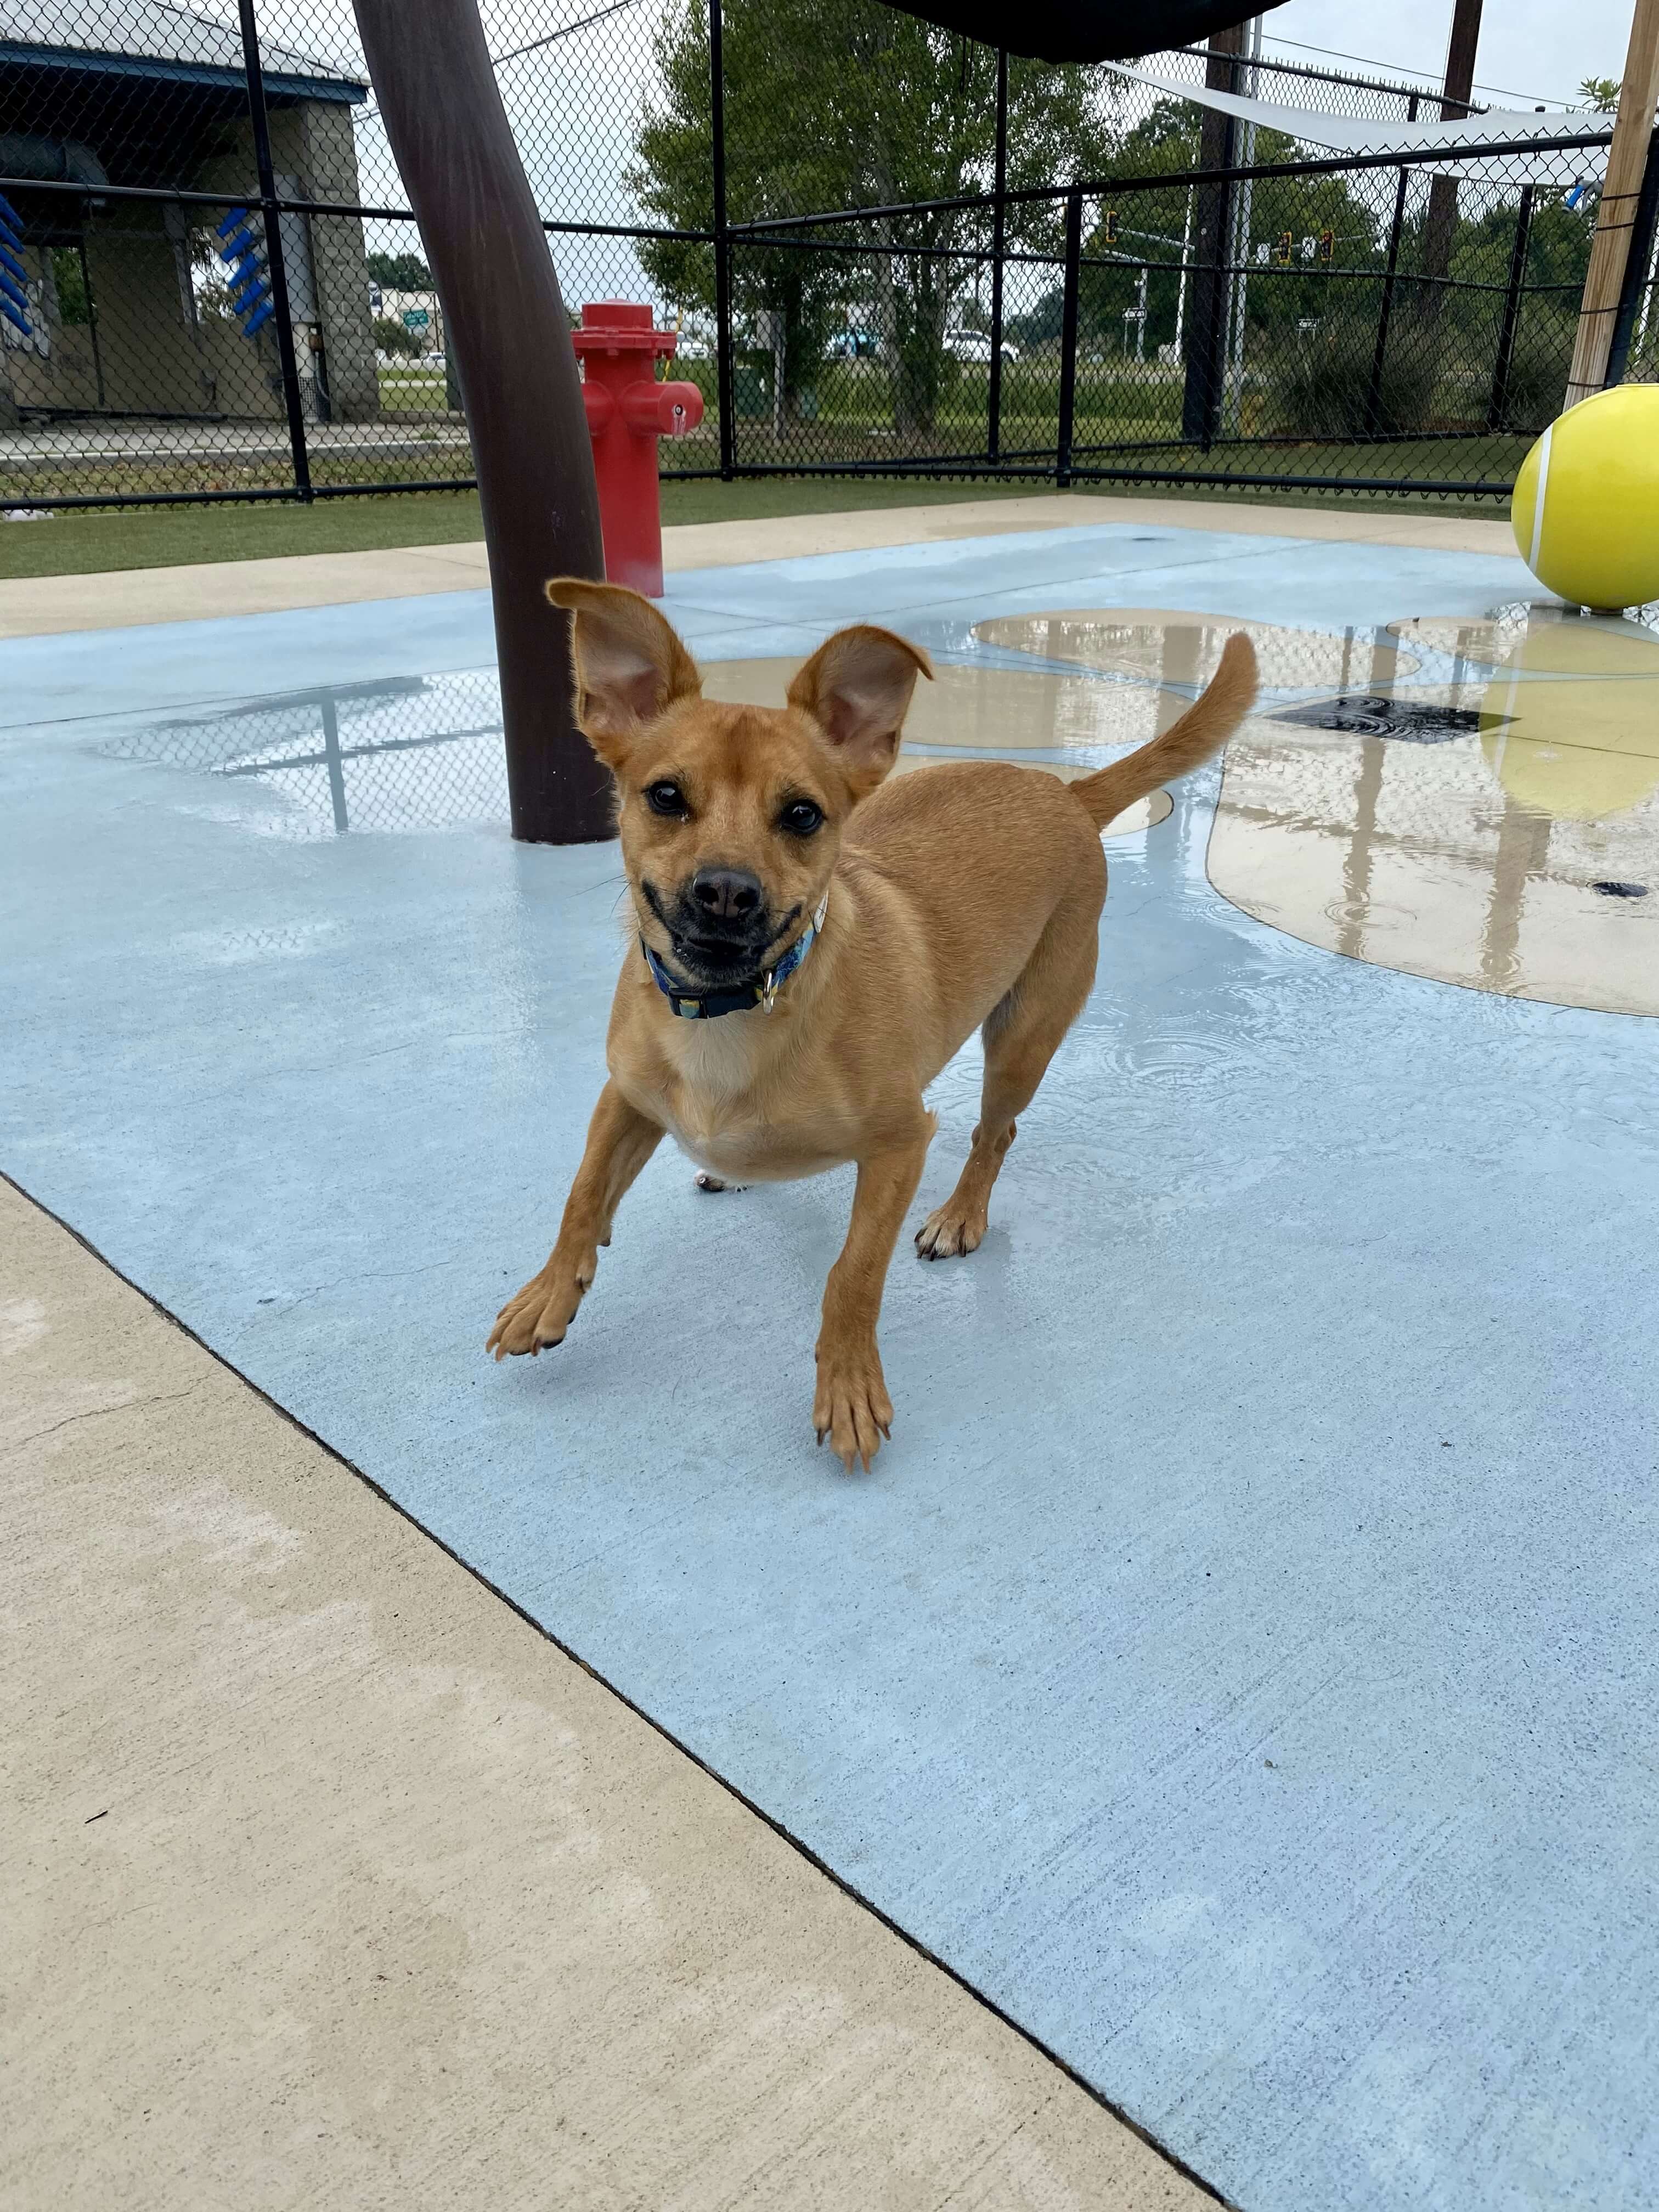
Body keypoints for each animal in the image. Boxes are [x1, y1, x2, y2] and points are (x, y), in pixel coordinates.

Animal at [491, 584, 1256, 1469]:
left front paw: (849, 1386)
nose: (726, 891)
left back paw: (961, 1215)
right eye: (666, 796)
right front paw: (549, 1291)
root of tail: (1066, 794)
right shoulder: (626, 1097)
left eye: (802, 815)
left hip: (1022, 1042)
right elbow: (582, 1195)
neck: (735, 1013)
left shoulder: (900, 1145)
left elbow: (852, 1273)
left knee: (995, 1135)